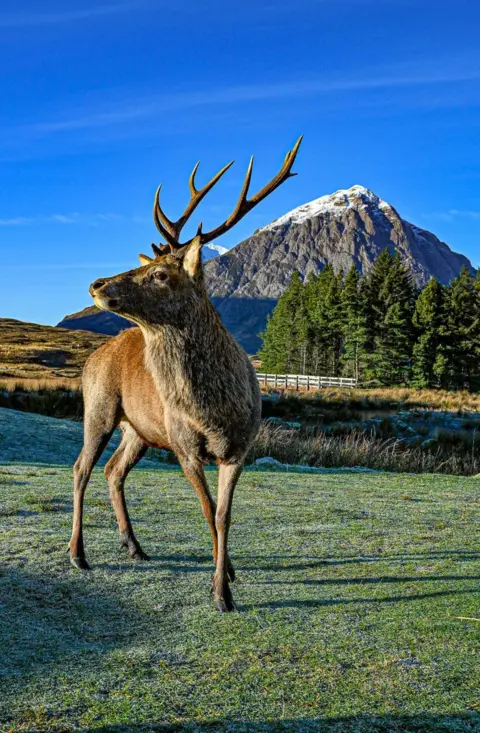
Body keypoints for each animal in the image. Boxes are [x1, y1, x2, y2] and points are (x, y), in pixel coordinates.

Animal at [68, 136, 302, 612]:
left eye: (159, 273)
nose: (97, 283)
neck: (214, 410)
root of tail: (93, 357)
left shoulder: (240, 448)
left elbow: (224, 514)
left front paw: (227, 577)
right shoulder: (184, 447)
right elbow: (207, 509)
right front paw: (221, 587)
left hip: (138, 429)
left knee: (112, 471)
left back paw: (133, 546)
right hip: (99, 407)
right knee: (80, 469)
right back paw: (78, 554)